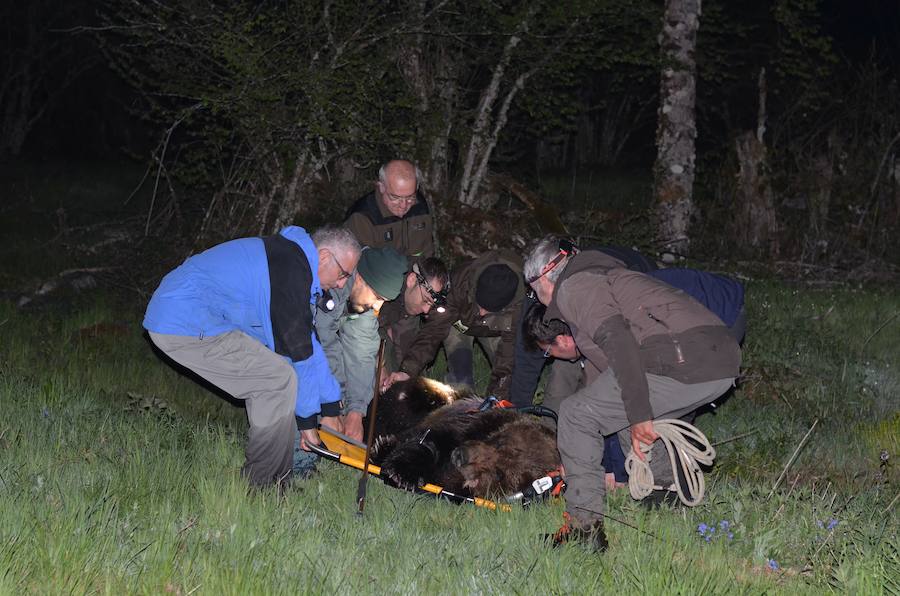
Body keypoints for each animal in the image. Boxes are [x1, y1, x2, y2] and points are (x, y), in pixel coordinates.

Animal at [366, 380, 556, 500]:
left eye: (499, 473)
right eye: (499, 442)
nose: (460, 456)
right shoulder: (474, 424)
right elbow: (429, 440)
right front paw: (403, 473)